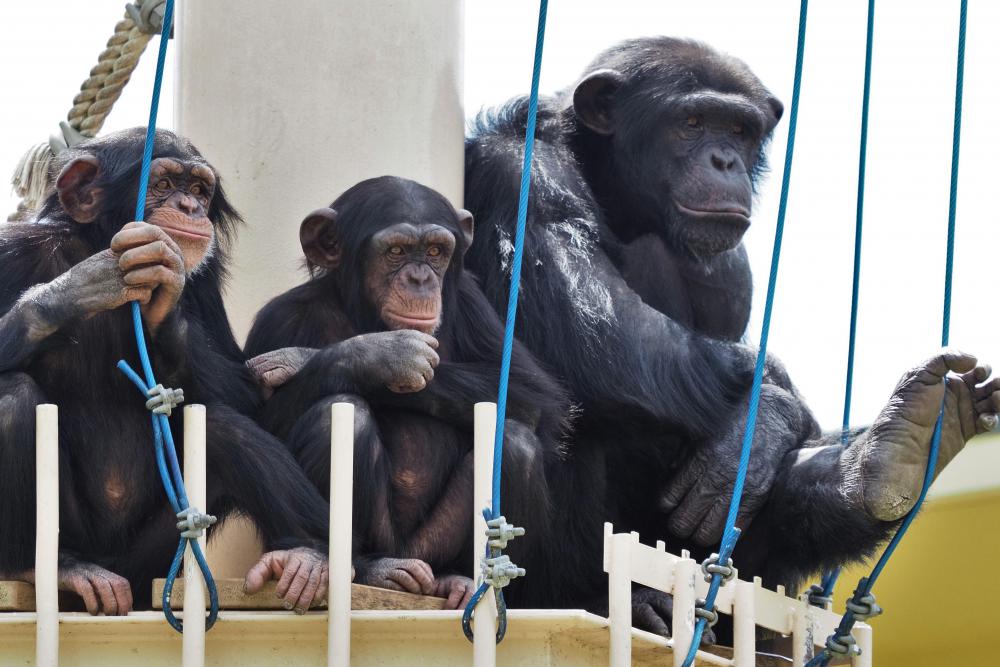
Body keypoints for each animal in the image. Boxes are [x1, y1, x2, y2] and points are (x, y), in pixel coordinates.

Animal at [0, 126, 332, 616]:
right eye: (162, 184)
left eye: (198, 188)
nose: (190, 207)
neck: (94, 240)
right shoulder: (13, 251)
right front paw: (78, 287)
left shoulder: (207, 278)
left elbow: (247, 394)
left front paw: (167, 295)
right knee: (13, 395)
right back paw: (54, 566)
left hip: (149, 560)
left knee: (224, 426)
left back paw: (307, 554)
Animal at [244, 176, 572, 612]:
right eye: (396, 251)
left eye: (435, 251)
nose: (420, 279)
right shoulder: (279, 318)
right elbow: (260, 431)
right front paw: (383, 355)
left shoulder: (472, 301)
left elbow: (528, 392)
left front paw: (299, 359)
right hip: (388, 543)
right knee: (341, 412)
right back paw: (360, 567)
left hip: (433, 545)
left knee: (517, 445)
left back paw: (462, 578)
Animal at [460, 36, 1000, 632]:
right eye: (691, 122)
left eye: (739, 130)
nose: (724, 160)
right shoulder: (520, 171)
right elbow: (592, 325)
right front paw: (768, 412)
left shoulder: (733, 266)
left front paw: (760, 435)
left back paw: (890, 455)